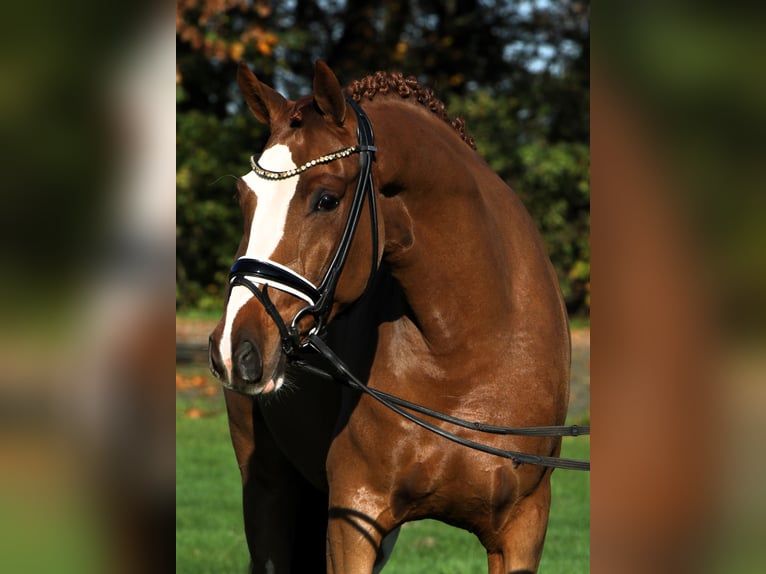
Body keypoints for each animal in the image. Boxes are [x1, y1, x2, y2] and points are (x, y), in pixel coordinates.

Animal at [207, 62, 572, 574]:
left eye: (326, 199)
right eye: (245, 196)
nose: (234, 348)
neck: (467, 349)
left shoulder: (522, 527)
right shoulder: (353, 518)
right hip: (266, 486)